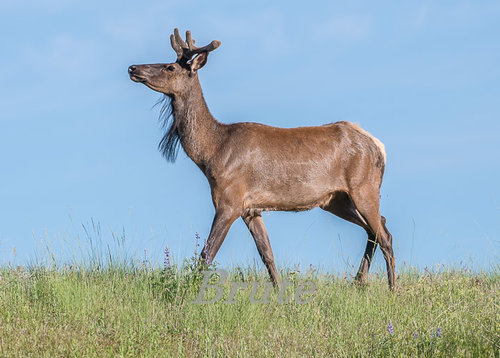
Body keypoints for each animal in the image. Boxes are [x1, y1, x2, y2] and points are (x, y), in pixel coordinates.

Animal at [128, 29, 394, 290]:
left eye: (169, 67)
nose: (132, 68)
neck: (211, 153)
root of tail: (378, 147)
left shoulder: (229, 199)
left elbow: (207, 252)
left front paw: (189, 290)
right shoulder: (251, 208)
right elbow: (267, 254)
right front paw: (278, 292)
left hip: (364, 187)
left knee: (384, 235)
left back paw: (392, 288)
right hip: (336, 199)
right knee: (376, 228)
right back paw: (359, 281)